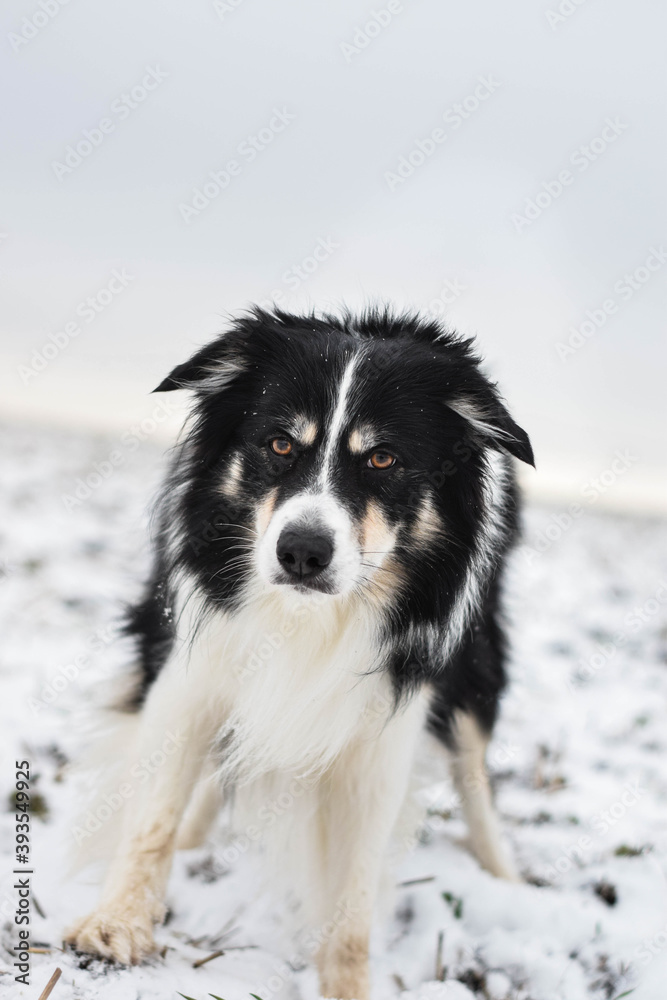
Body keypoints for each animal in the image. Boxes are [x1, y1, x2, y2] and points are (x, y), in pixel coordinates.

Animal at [66, 306, 536, 1000]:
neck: (309, 617)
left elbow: (354, 897)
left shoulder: (385, 727)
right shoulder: (193, 663)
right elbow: (155, 812)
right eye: (280, 444)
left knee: (474, 768)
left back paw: (505, 875)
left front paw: (348, 987)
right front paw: (117, 925)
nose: (302, 553)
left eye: (383, 458)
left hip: (477, 658)